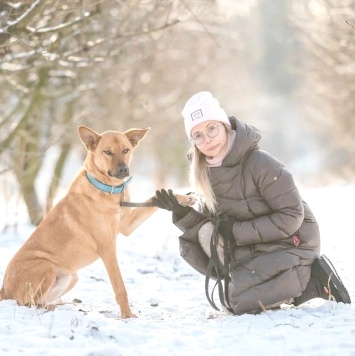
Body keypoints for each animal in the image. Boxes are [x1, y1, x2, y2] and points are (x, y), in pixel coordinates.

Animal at [0, 124, 195, 318]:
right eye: (107, 152)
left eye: (126, 150)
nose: (123, 169)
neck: (107, 188)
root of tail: (4, 289)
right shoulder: (107, 249)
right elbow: (120, 287)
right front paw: (127, 315)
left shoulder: (127, 225)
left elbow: (154, 199)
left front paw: (182, 199)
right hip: (46, 267)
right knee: (28, 304)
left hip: (70, 277)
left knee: (40, 301)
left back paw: (59, 305)